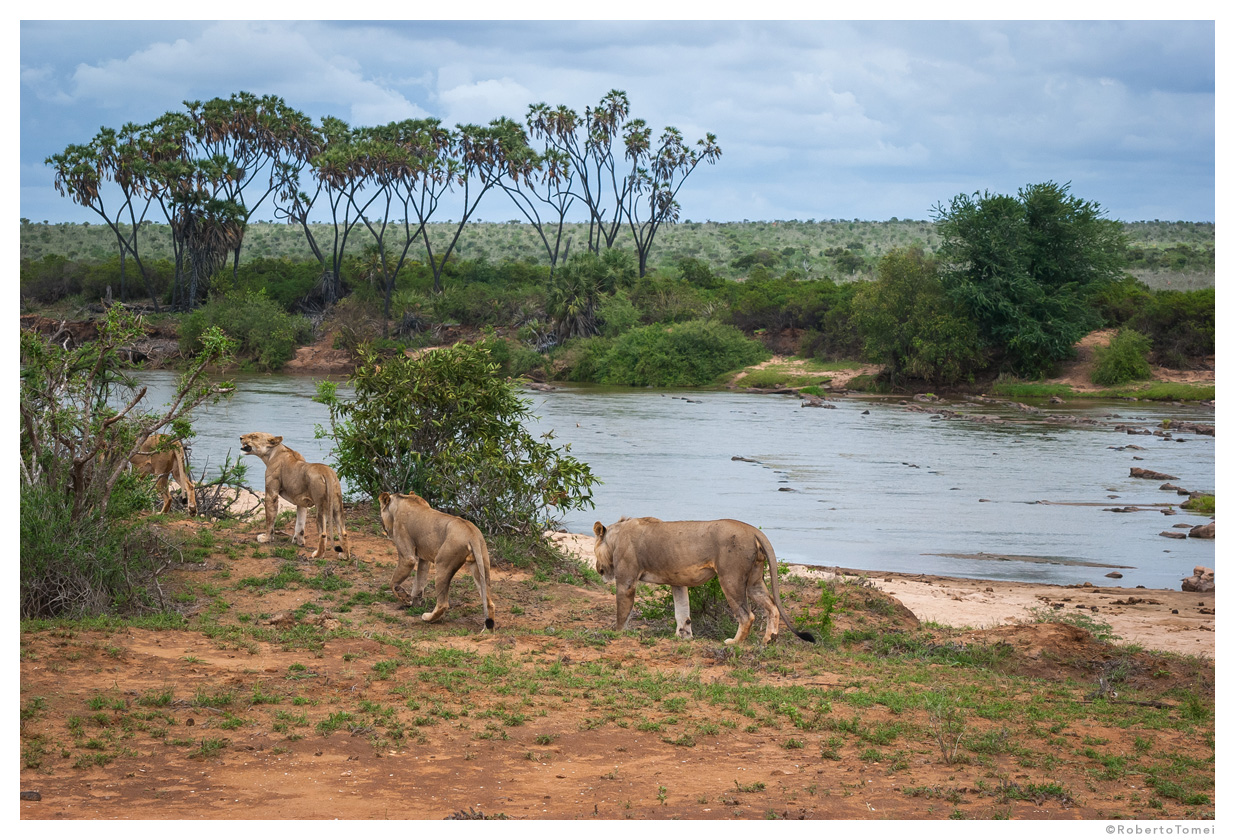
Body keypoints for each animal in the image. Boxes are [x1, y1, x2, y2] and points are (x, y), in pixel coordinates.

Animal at [378, 491, 495, 631]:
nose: (383, 527)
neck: (399, 501)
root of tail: (471, 533)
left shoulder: (407, 556)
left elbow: (393, 582)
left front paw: (404, 597)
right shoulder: (424, 558)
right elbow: (419, 582)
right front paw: (414, 603)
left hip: (443, 564)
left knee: (443, 603)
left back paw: (427, 618)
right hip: (481, 565)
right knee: (489, 602)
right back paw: (487, 631)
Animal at [592, 516, 815, 645]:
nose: (597, 568)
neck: (616, 537)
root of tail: (753, 530)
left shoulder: (626, 581)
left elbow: (622, 612)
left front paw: (616, 633)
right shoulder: (677, 581)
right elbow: (682, 611)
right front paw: (683, 636)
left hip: (730, 578)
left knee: (747, 615)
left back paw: (733, 642)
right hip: (754, 581)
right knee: (772, 607)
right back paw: (770, 639)